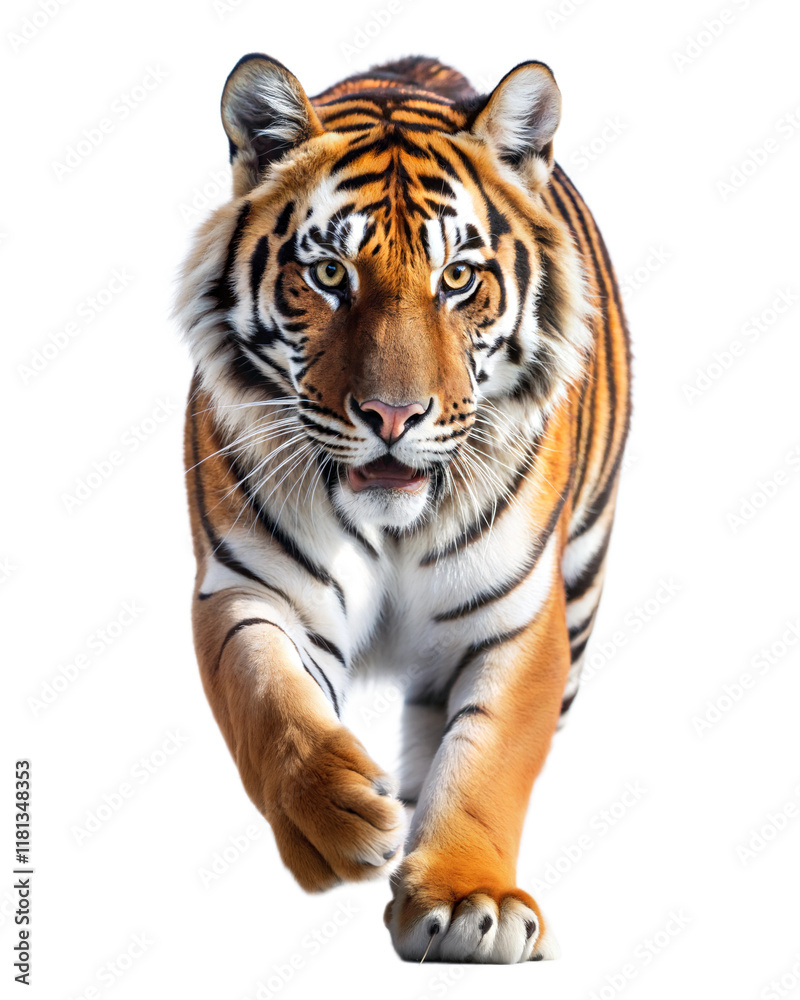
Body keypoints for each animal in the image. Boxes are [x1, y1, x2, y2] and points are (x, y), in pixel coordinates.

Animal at [175, 52, 631, 964]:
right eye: (328, 275)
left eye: (457, 278)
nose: (392, 415)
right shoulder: (247, 587)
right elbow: (270, 703)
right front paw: (339, 818)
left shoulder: (518, 619)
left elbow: (489, 757)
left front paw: (465, 898)